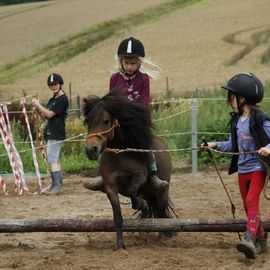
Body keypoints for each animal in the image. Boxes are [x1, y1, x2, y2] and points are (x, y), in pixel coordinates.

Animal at [83, 91, 174, 251]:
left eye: (106, 121)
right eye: (88, 121)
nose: (90, 150)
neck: (119, 155)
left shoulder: (140, 175)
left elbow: (132, 189)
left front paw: (141, 203)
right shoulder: (110, 187)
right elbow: (118, 217)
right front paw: (120, 245)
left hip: (162, 192)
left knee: (161, 211)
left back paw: (164, 234)